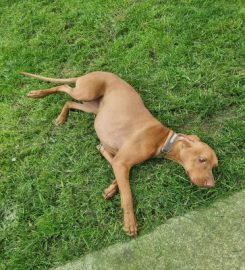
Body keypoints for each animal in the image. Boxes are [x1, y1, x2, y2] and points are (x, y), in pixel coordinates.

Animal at [21, 71, 218, 236]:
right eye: (202, 159)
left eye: (214, 166)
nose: (211, 185)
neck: (162, 140)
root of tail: (89, 72)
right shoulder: (122, 162)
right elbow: (128, 195)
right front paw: (130, 223)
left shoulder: (119, 160)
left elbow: (115, 170)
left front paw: (111, 189)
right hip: (86, 93)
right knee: (63, 87)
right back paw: (39, 95)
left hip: (93, 108)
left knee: (69, 101)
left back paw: (61, 115)